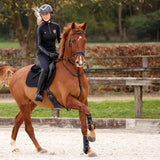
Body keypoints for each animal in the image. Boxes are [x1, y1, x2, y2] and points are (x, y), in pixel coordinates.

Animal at [0, 22, 97, 158]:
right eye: (72, 41)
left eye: (84, 40)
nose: (80, 62)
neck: (74, 73)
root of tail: (16, 72)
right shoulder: (68, 101)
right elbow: (87, 111)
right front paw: (92, 137)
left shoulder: (82, 100)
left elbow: (83, 124)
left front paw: (88, 149)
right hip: (23, 103)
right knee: (28, 127)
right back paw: (40, 148)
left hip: (31, 103)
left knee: (18, 119)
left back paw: (14, 145)